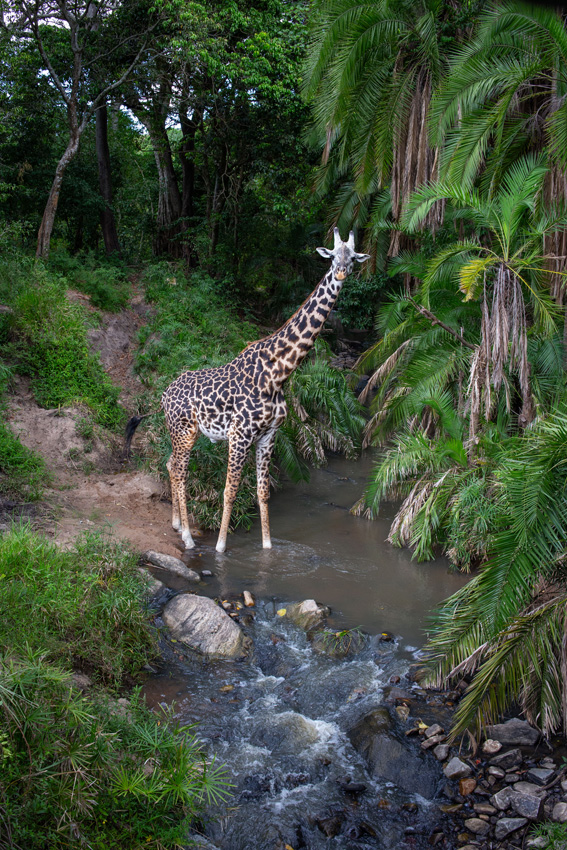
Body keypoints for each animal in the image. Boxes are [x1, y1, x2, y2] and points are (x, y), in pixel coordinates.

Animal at [125, 229, 369, 553]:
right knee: (179, 472)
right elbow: (230, 490)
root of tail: (163, 395)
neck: (279, 373)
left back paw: (177, 525)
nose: (341, 272)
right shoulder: (239, 435)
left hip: (181, 432)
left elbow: (262, 492)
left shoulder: (268, 435)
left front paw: (267, 547)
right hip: (184, 432)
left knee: (169, 464)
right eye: (331, 256)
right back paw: (188, 537)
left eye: (353, 257)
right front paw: (220, 548)